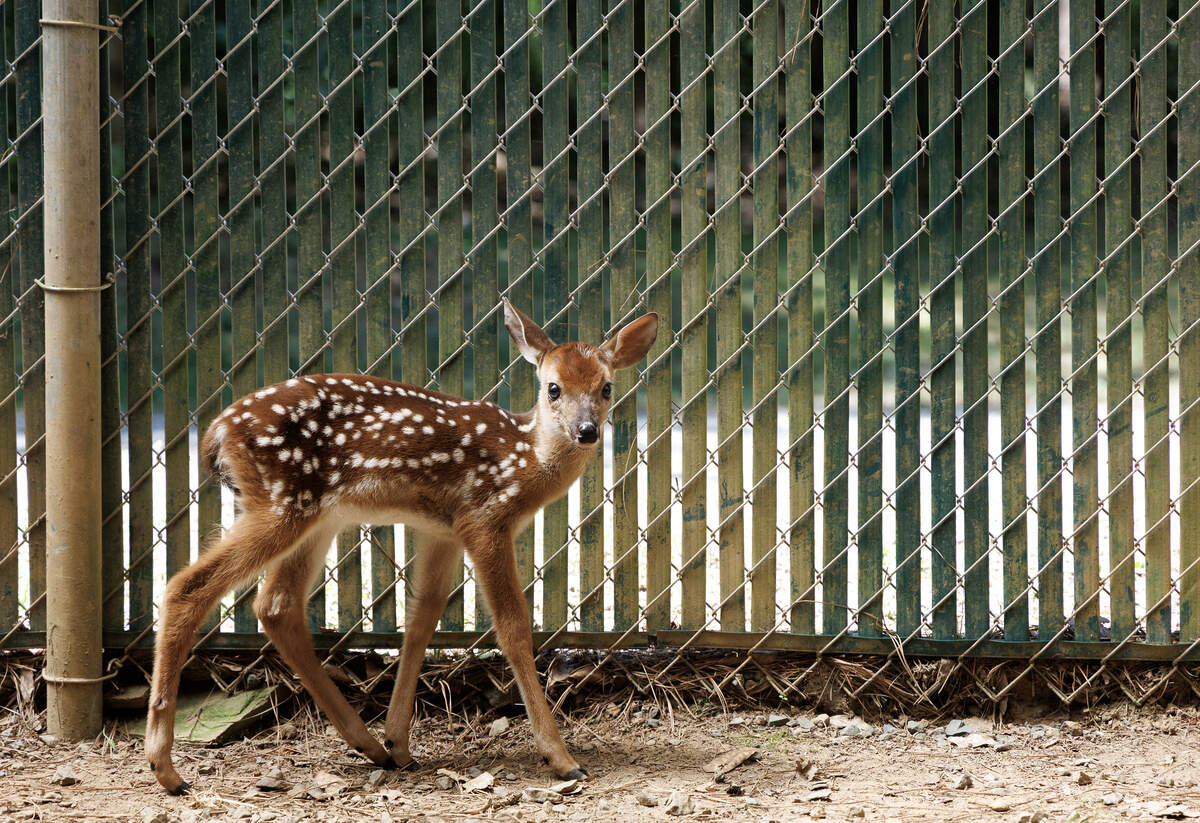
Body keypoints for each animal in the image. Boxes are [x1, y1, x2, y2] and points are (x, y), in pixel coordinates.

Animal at [143, 299, 658, 794]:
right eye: (553, 388)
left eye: (606, 387)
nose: (587, 430)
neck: (523, 459)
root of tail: (215, 434)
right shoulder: (485, 518)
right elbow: (512, 628)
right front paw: (562, 759)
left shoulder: (444, 529)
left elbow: (421, 618)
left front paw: (400, 742)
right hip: (280, 503)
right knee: (187, 587)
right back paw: (165, 768)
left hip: (316, 516)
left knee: (276, 604)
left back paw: (369, 745)